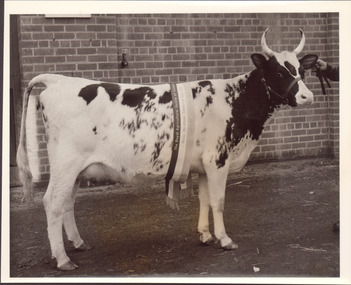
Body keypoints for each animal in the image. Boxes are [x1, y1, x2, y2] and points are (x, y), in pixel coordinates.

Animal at [15, 29, 320, 270]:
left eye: (302, 71)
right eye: (279, 71)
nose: (307, 96)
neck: (234, 101)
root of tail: (59, 80)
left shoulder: (203, 164)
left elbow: (204, 199)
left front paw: (205, 235)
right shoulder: (217, 160)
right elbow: (219, 201)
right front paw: (225, 240)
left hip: (76, 170)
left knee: (67, 202)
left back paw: (78, 244)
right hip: (65, 164)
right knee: (52, 202)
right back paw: (63, 259)